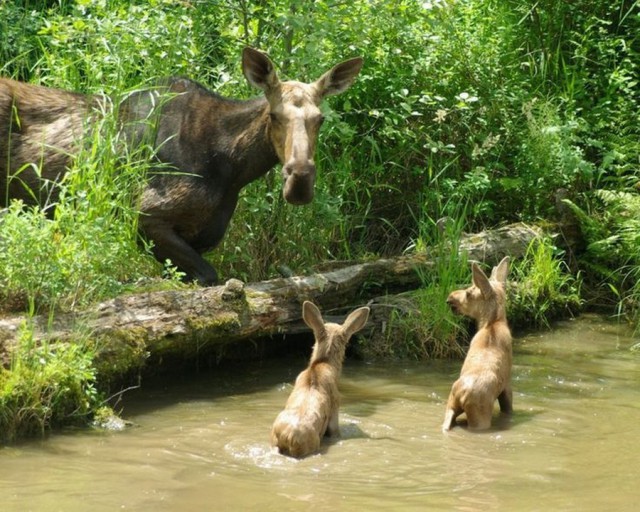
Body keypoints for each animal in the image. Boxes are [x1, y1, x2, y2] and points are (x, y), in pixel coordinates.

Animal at [0, 47, 362, 284]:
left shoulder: (200, 237)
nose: (300, 181)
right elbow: (209, 277)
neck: (232, 170)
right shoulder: (145, 217)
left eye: (320, 118)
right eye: (274, 115)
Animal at [442, 256, 512, 432]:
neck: (493, 322)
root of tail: (462, 394)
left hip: (451, 406)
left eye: (468, 293)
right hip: (480, 418)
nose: (450, 297)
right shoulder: (507, 384)